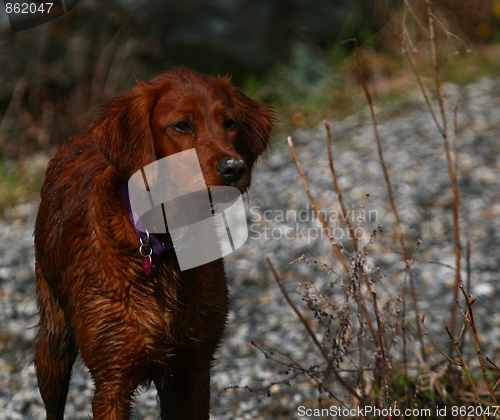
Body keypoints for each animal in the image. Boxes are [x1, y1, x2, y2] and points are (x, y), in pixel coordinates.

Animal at [33, 67, 274, 418]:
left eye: (230, 123)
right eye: (182, 125)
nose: (234, 168)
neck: (167, 244)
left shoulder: (193, 369)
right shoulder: (112, 381)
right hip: (53, 345)